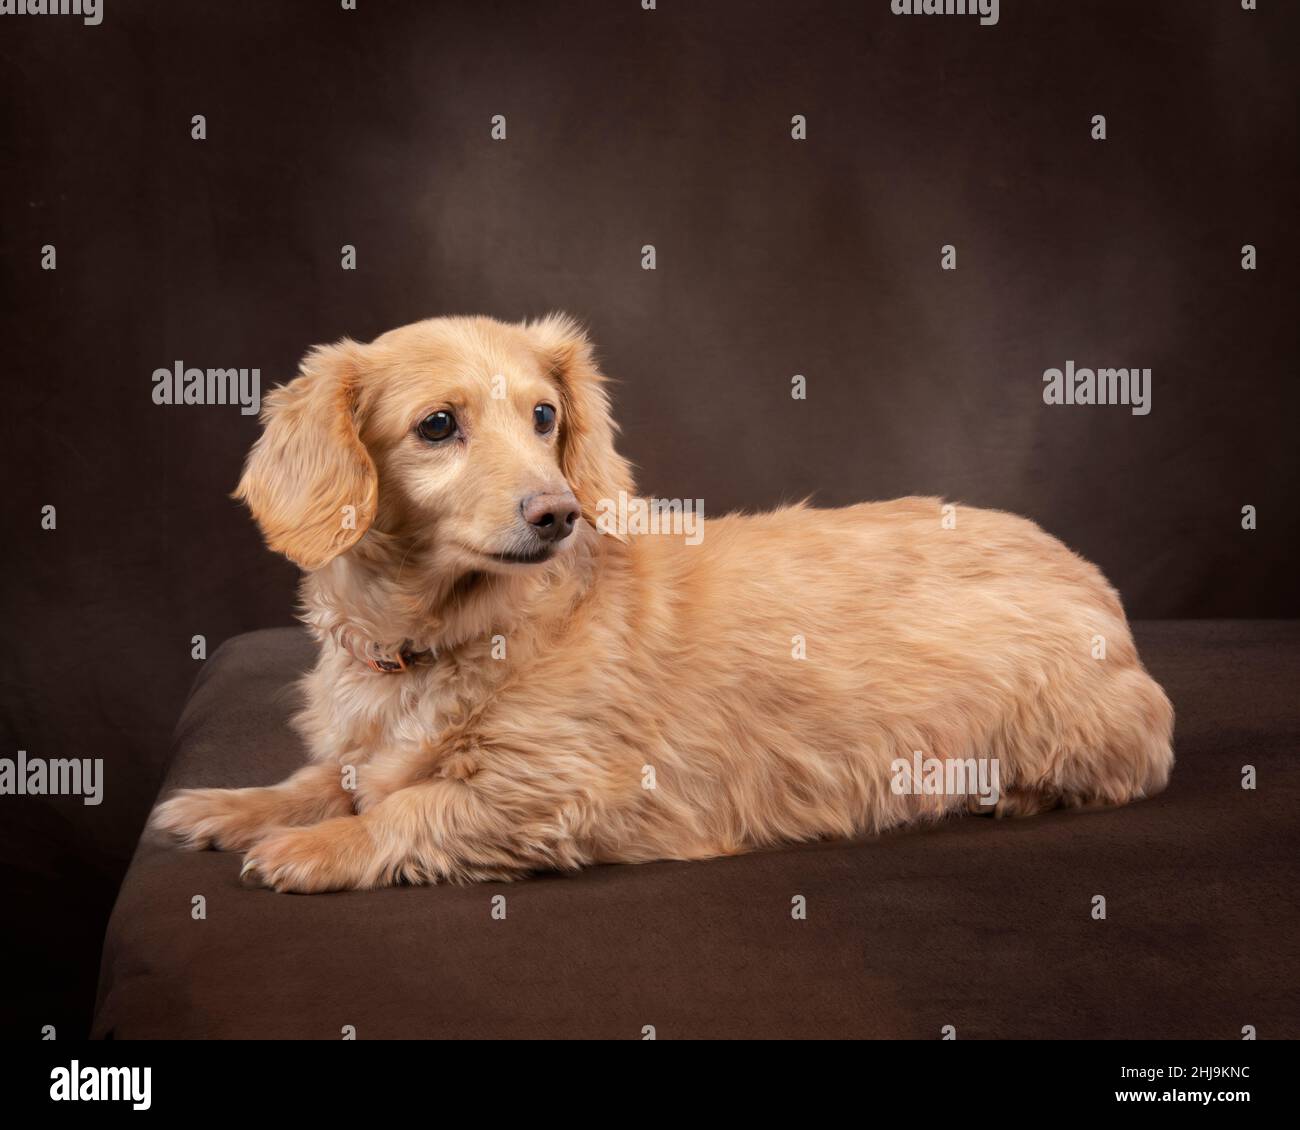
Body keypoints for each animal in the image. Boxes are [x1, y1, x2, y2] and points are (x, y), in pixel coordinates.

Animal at [147, 310, 1175, 889]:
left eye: (545, 415)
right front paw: (231, 807)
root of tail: (1100, 589)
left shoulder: (566, 790)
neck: (456, 633)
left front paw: (316, 850)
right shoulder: (365, 749)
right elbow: (324, 779)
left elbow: (407, 811)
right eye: (437, 426)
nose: (558, 512)